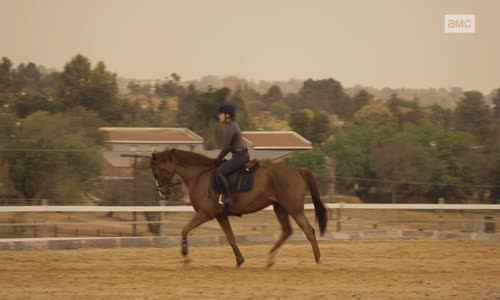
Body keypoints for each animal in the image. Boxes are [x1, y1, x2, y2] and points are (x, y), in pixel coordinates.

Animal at [148, 149, 328, 266]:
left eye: (156, 173)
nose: (163, 194)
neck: (200, 176)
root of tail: (297, 170)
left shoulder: (205, 214)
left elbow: (184, 230)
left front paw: (185, 255)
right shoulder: (220, 216)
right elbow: (231, 237)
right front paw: (239, 260)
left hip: (294, 208)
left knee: (308, 230)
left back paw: (318, 260)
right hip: (280, 208)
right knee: (286, 231)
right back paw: (270, 259)